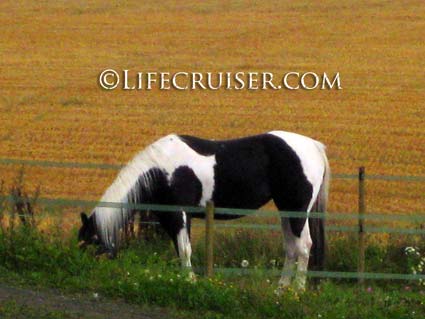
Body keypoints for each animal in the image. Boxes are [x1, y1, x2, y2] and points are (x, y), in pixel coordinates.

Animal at [79, 131, 332, 292]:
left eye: (91, 240)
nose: (80, 266)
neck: (160, 169)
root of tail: (314, 147)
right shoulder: (169, 217)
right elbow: (179, 250)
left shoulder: (179, 214)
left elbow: (185, 249)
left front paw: (190, 282)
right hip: (286, 212)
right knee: (291, 248)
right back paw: (280, 290)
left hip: (297, 211)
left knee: (304, 246)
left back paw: (296, 291)